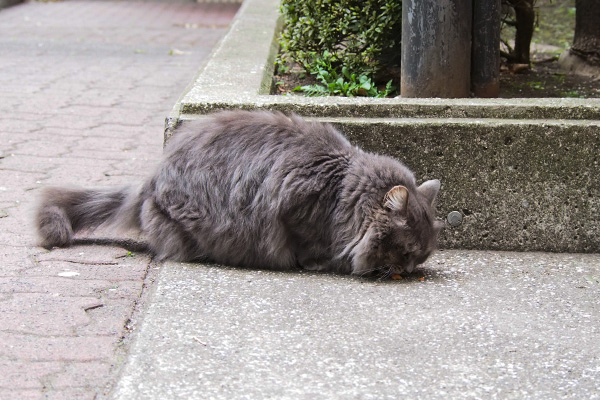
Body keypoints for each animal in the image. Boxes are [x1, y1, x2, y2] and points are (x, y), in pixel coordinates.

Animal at [36, 111, 440, 276]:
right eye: (406, 251)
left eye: (421, 256)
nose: (408, 270)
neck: (338, 191)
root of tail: (151, 179)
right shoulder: (294, 210)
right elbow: (307, 245)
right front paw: (317, 262)